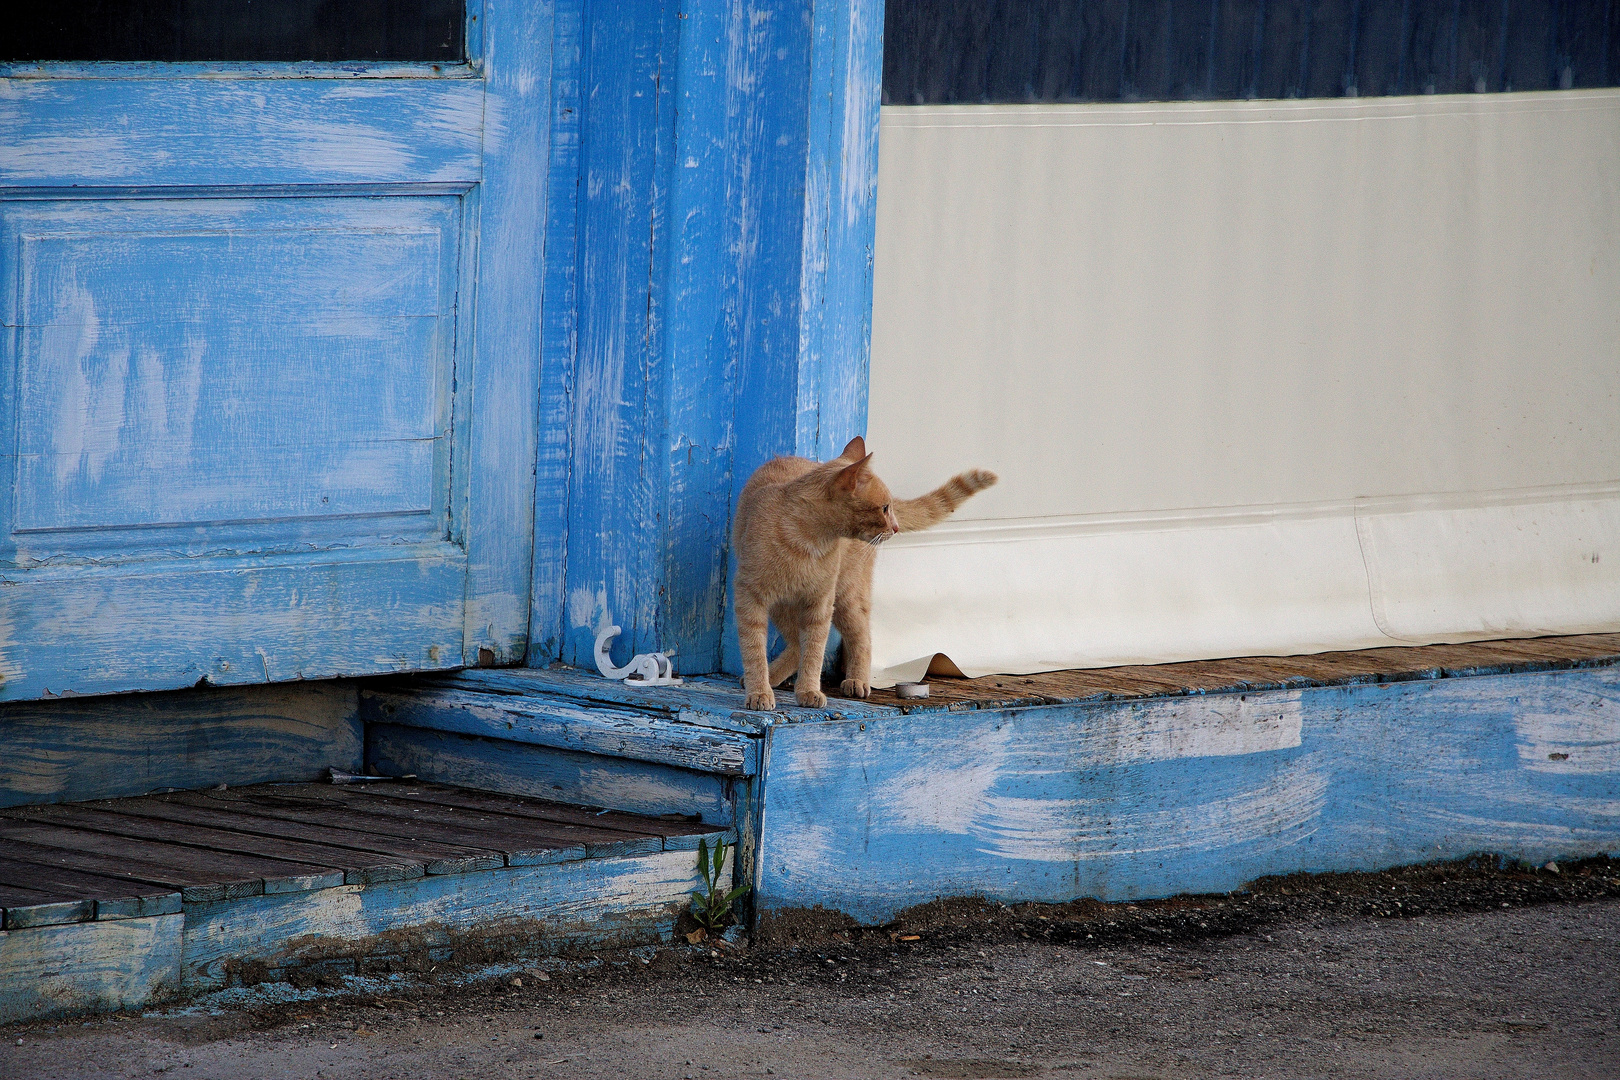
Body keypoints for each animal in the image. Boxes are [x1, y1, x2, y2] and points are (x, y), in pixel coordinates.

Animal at [732, 433, 984, 712]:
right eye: (884, 508)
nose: (895, 527)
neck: (805, 542)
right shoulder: (750, 598)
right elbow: (754, 650)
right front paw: (760, 691)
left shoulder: (820, 604)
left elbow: (814, 651)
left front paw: (808, 690)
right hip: (784, 606)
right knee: (797, 644)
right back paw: (773, 677)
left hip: (846, 597)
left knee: (861, 637)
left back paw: (857, 680)